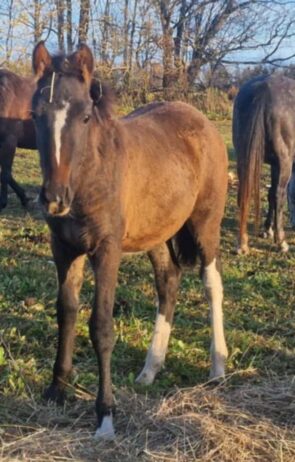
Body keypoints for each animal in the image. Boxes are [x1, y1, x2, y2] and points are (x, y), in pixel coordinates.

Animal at [31, 41, 229, 438]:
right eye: (35, 114)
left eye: (85, 117)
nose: (54, 198)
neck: (90, 174)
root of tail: (202, 121)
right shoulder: (64, 249)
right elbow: (66, 313)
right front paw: (56, 389)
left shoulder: (107, 251)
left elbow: (101, 326)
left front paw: (106, 414)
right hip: (157, 235)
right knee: (168, 284)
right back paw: (150, 369)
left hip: (205, 226)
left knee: (211, 284)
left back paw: (218, 366)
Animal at [234, 76, 295, 256]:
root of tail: (263, 89)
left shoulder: (274, 165)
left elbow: (269, 194)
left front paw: (267, 229)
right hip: (284, 162)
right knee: (279, 195)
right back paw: (282, 242)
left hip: (244, 159)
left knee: (244, 194)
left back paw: (242, 243)